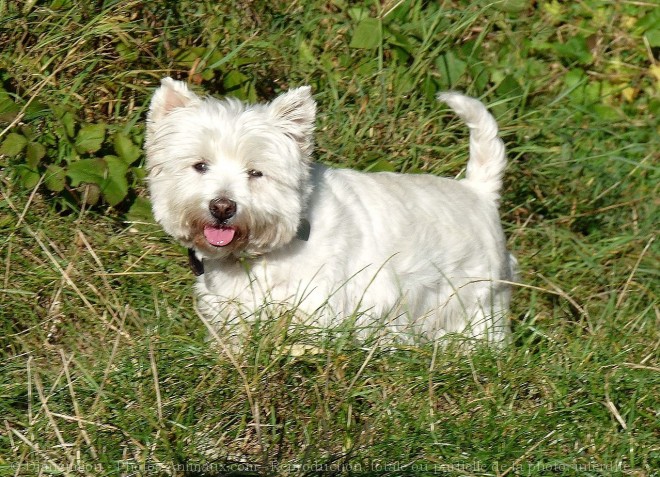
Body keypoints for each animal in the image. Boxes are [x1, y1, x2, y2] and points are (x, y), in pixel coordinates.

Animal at [146, 80, 516, 344]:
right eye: (200, 165)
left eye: (256, 172)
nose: (222, 206)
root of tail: (478, 191)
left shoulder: (317, 309)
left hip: (478, 305)